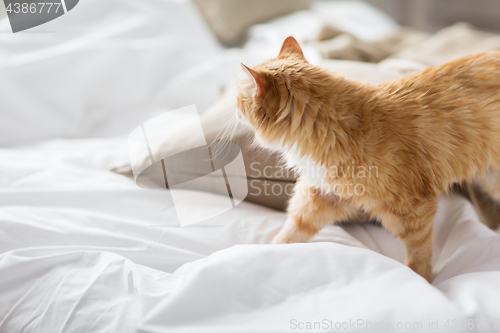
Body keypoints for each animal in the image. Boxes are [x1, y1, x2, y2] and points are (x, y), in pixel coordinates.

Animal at [236, 35, 500, 280]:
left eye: (239, 99)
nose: (236, 109)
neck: (341, 129)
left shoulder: (414, 208)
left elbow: (419, 252)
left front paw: (421, 279)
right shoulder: (324, 196)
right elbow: (293, 230)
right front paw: (269, 251)